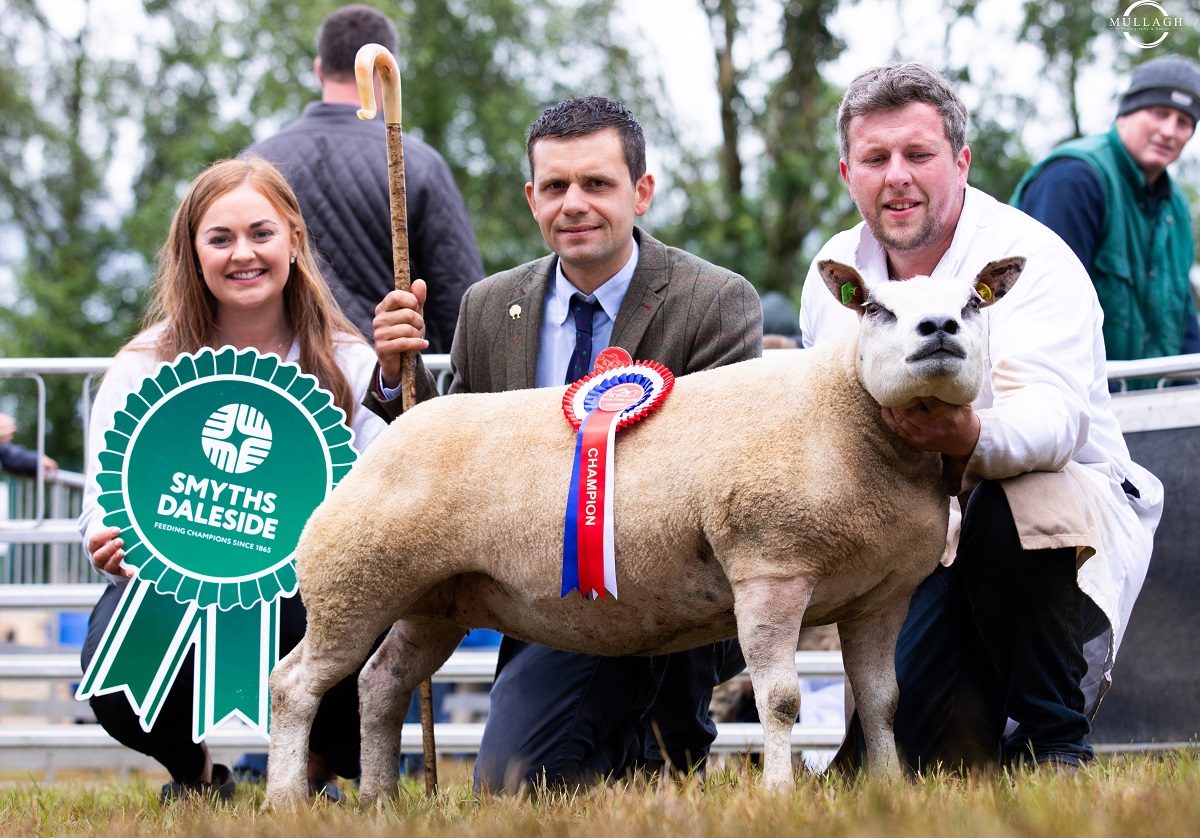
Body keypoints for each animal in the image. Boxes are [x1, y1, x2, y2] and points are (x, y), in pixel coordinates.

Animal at [265, 255, 1022, 801]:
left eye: (972, 304)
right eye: (875, 308)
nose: (940, 331)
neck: (841, 414)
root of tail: (390, 437)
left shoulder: (880, 597)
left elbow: (883, 703)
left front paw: (891, 789)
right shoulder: (769, 569)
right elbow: (780, 701)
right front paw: (781, 795)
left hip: (433, 600)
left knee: (381, 685)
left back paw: (380, 797)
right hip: (353, 582)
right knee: (294, 685)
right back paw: (287, 798)